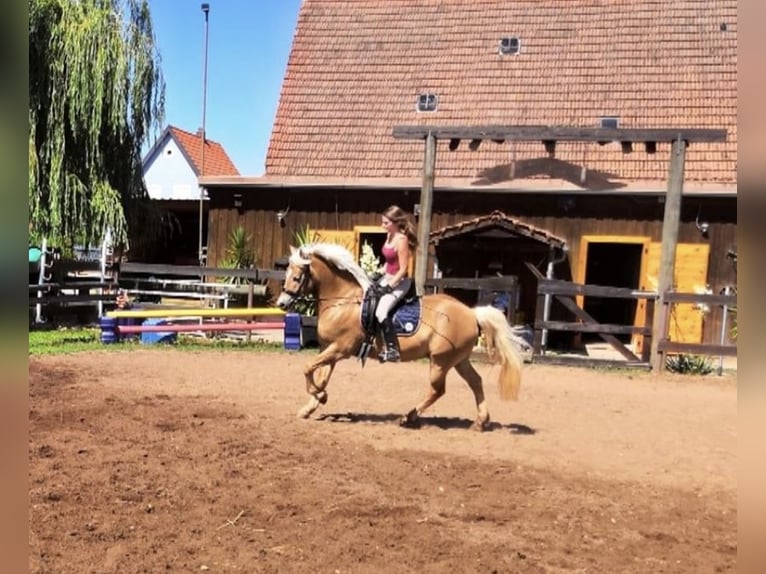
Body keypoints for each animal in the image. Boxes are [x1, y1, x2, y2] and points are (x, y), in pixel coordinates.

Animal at [278, 243, 528, 432]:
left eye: (297, 277)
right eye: (287, 274)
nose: (281, 303)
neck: (343, 300)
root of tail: (471, 312)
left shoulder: (340, 348)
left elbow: (308, 368)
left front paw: (319, 397)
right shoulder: (330, 349)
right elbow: (320, 377)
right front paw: (313, 404)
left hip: (440, 361)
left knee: (438, 390)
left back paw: (408, 417)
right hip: (459, 360)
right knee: (475, 381)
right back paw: (480, 422)